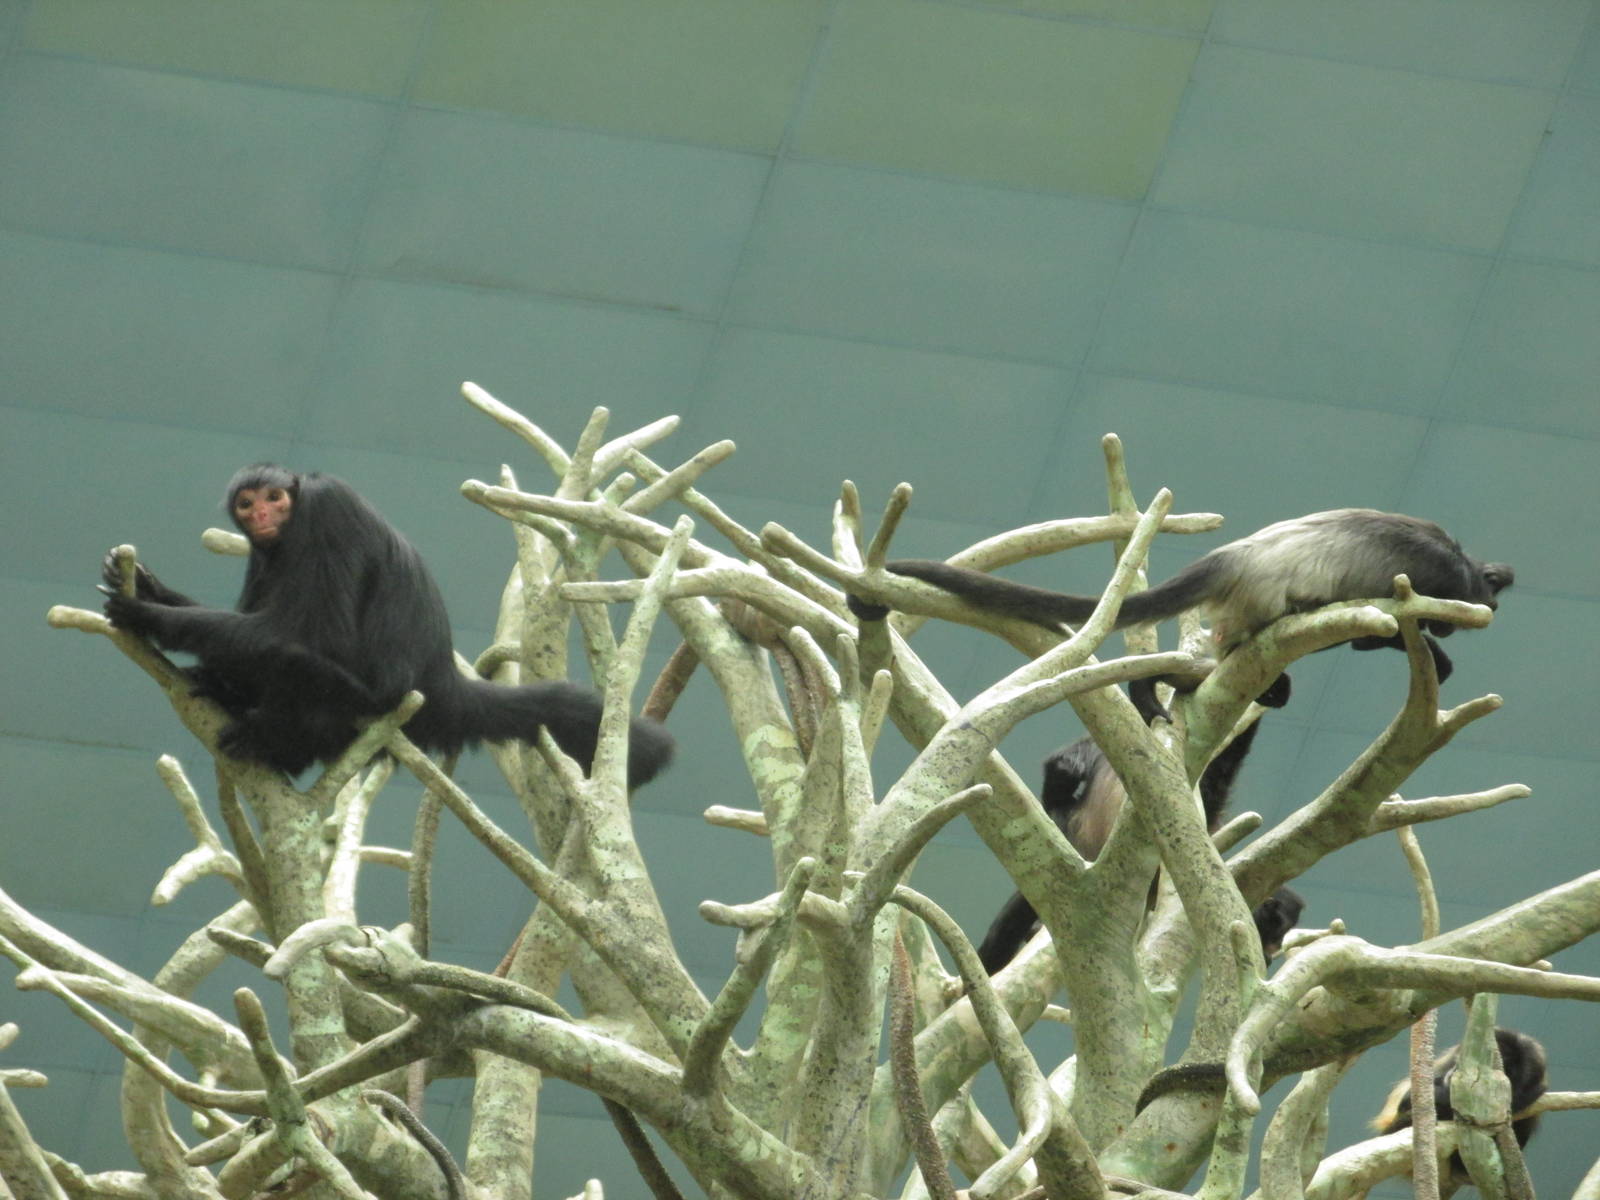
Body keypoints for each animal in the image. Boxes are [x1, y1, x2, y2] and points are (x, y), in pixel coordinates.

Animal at [100, 464, 674, 787]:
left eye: (274, 498)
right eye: (247, 503)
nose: (262, 516)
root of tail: (440, 682)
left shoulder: (325, 509)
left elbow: (311, 637)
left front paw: (150, 614)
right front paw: (149, 588)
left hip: (358, 699)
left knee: (293, 658)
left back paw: (273, 741)